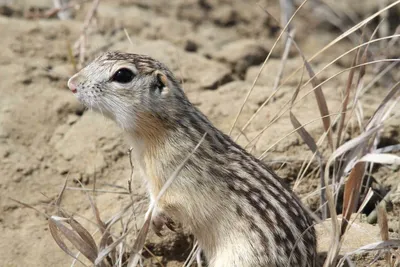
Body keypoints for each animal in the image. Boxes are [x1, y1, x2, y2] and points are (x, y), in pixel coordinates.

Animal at [67, 51, 318, 266]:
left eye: (122, 75)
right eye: (100, 56)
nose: (71, 83)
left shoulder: (180, 179)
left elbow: (167, 201)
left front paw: (154, 218)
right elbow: (152, 197)